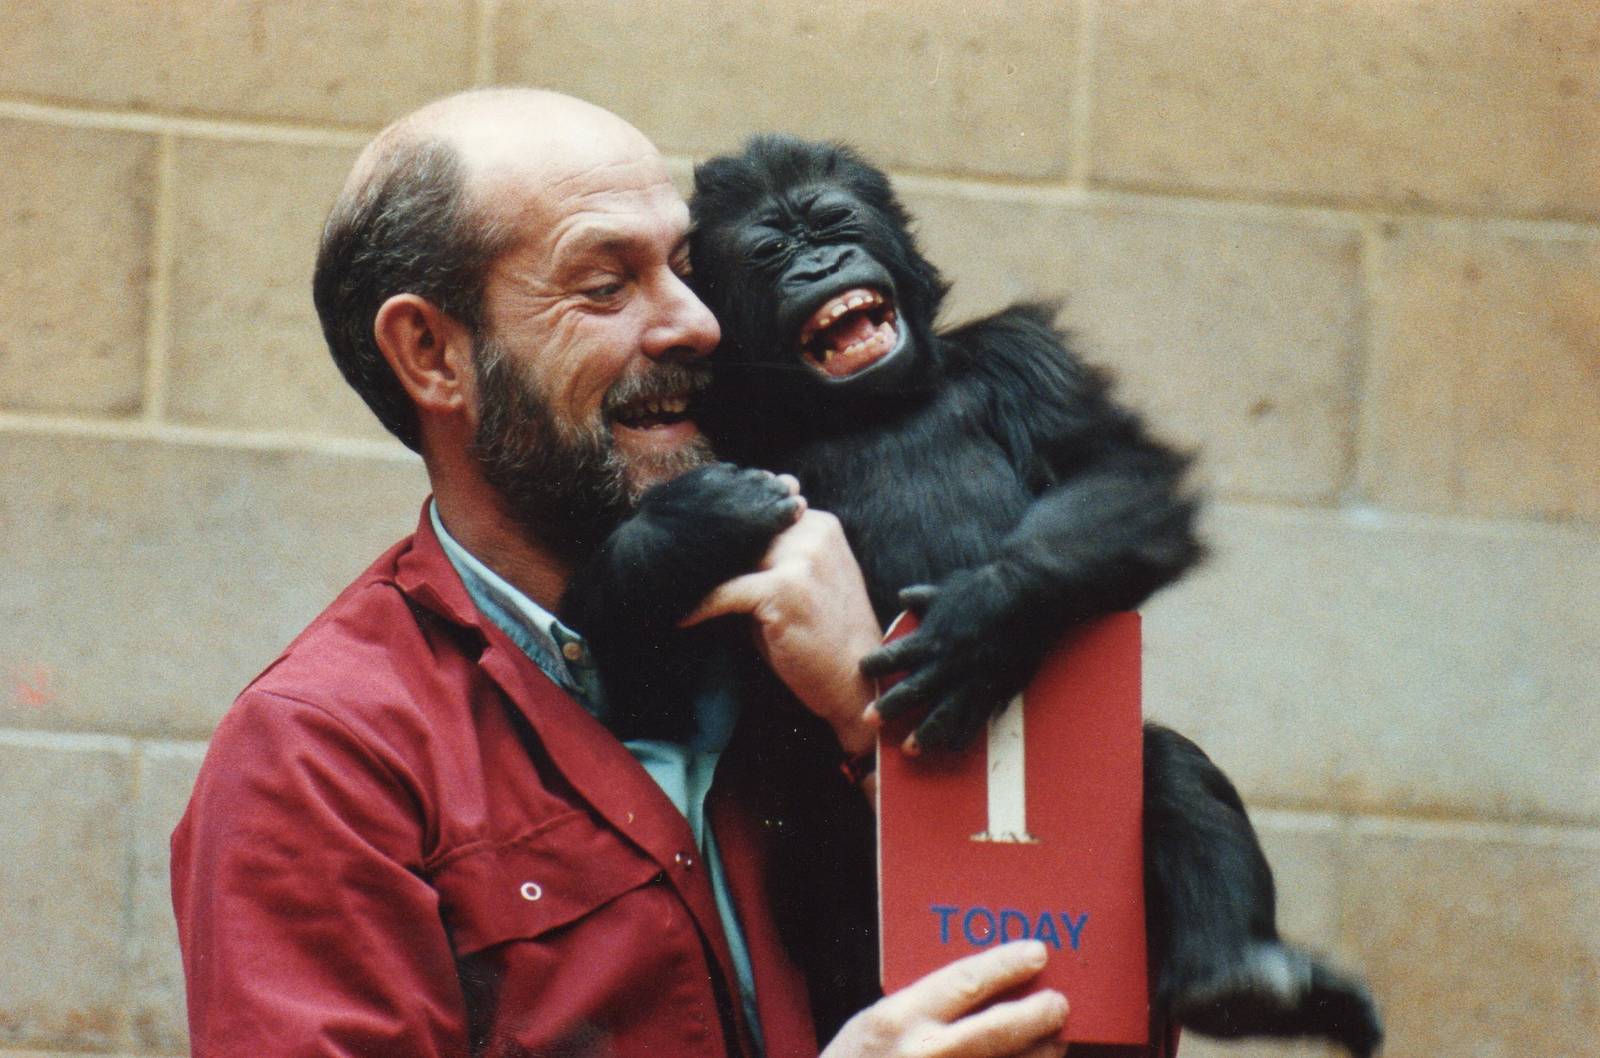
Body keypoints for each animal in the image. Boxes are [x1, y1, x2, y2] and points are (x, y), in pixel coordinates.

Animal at [561, 135, 1382, 1056]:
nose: (820, 263)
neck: (867, 406)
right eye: (770, 252)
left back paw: (1241, 978)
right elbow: (640, 693)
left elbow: (1119, 470)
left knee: (1164, 769)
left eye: (835, 222)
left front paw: (985, 617)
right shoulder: (702, 434)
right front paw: (690, 527)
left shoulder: (1023, 354)